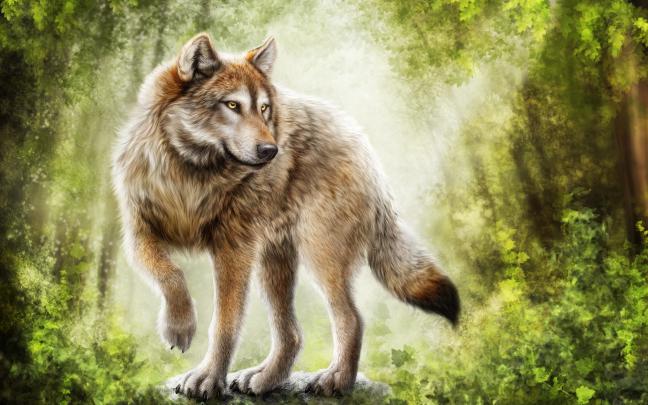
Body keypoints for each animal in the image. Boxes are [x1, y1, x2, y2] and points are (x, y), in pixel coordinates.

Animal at [112, 33, 459, 400]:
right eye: (232, 105)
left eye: (264, 109)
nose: (271, 151)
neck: (190, 174)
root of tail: (365, 149)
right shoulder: (138, 237)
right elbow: (171, 274)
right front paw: (178, 327)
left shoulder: (233, 252)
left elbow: (224, 324)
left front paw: (207, 377)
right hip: (274, 264)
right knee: (292, 335)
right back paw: (264, 379)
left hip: (318, 257)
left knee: (351, 319)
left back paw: (335, 380)